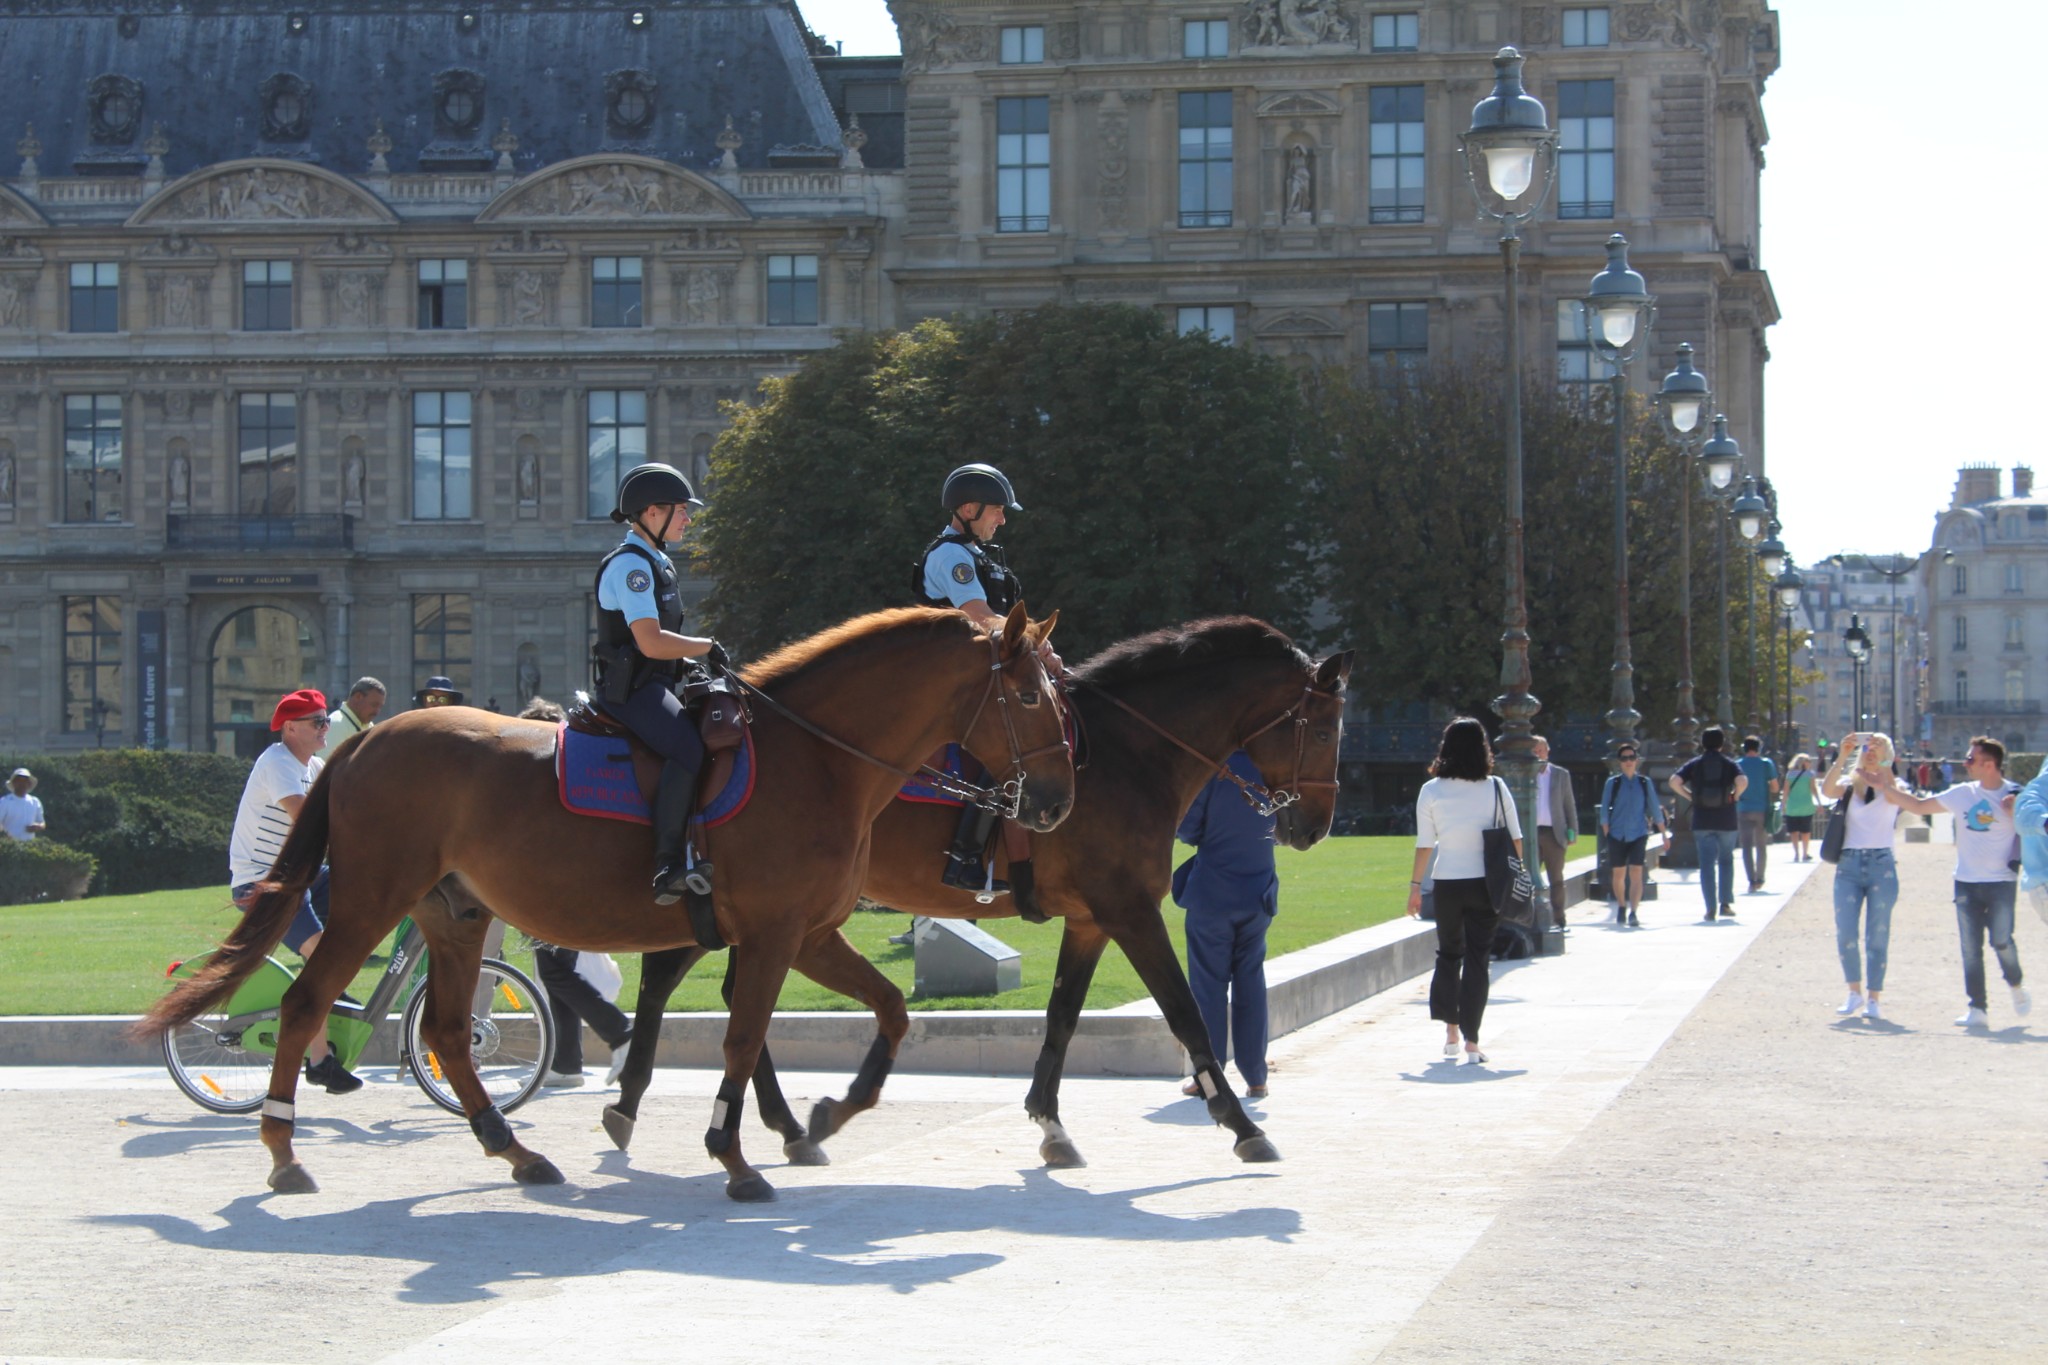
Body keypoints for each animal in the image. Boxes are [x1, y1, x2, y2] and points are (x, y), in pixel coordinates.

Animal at [140, 601, 1073, 1203]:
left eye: (1060, 690)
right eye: (1031, 695)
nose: (1057, 800)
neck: (817, 756)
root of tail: (371, 737)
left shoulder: (804, 933)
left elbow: (888, 1010)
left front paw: (826, 1112)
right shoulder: (775, 933)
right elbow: (744, 1037)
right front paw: (734, 1151)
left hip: (454, 913)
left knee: (447, 1029)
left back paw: (512, 1147)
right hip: (371, 899)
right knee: (304, 1003)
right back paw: (283, 1149)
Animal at [598, 618, 1351, 1162]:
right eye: (1323, 727)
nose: (1316, 825)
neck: (1126, 752)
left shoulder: (1091, 920)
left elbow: (1062, 1017)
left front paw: (1050, 1123)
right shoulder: (1130, 911)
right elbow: (1186, 1012)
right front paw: (1238, 1121)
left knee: (724, 992)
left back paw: (757, 1120)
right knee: (671, 981)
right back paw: (636, 1100)